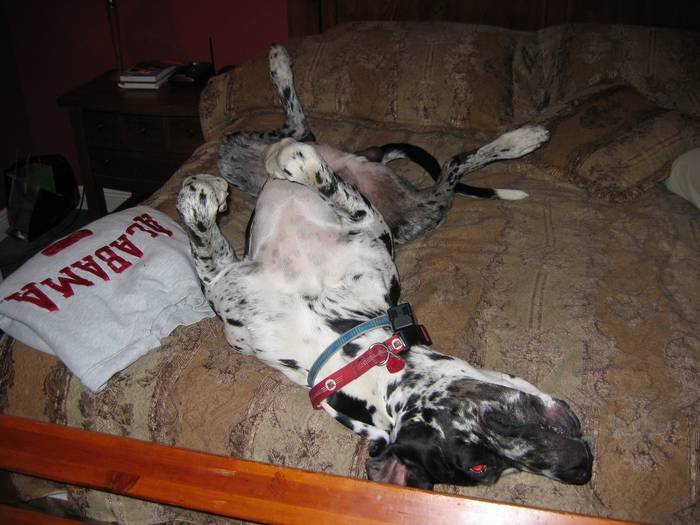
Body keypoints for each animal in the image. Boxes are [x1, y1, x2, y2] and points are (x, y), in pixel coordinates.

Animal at [176, 46, 593, 489]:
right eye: (481, 466)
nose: (581, 469)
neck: (326, 341)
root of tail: (361, 156)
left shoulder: (366, 227)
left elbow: (316, 179)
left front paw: (293, 168)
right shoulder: (225, 280)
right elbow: (196, 209)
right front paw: (210, 194)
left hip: (418, 210)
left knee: (448, 163)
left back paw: (520, 139)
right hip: (234, 153)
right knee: (301, 130)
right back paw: (279, 67)